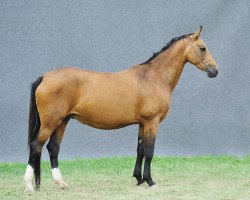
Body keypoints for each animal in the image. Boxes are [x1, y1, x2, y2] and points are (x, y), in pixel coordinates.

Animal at [24, 26, 218, 191]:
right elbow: (149, 151)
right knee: (36, 146)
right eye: (202, 48)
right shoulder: (152, 122)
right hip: (50, 123)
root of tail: (45, 77)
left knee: (53, 148)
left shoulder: (142, 123)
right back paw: (29, 186)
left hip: (62, 121)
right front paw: (150, 181)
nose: (215, 71)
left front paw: (139, 179)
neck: (154, 77)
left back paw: (61, 183)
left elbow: (140, 150)